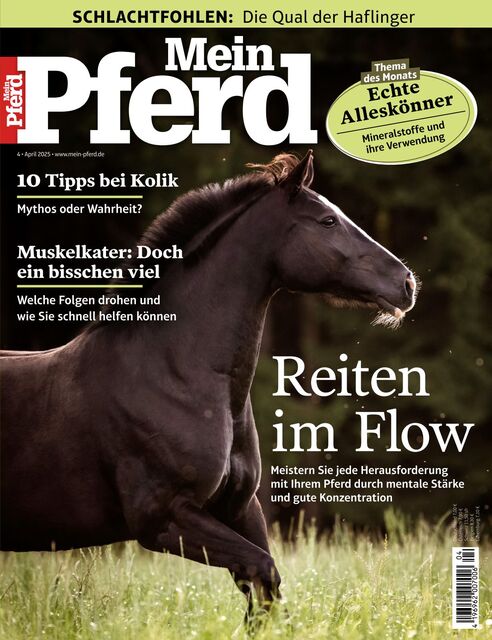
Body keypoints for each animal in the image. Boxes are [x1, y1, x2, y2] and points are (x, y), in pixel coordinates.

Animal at [0, 151, 416, 614]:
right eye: (327, 220)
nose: (406, 283)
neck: (175, 374)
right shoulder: (163, 518)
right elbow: (262, 570)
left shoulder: (239, 508)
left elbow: (265, 590)